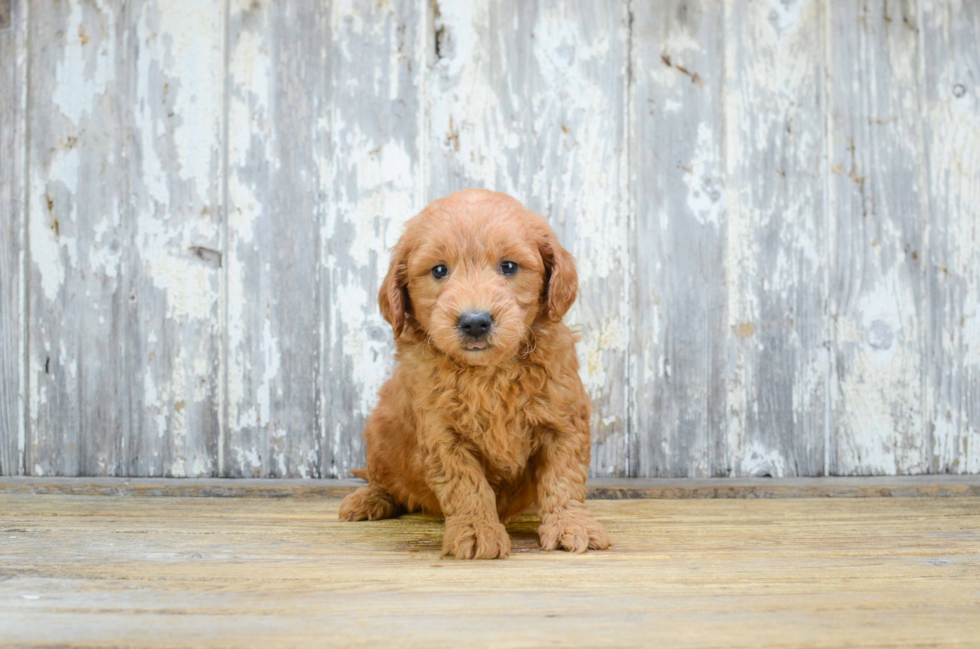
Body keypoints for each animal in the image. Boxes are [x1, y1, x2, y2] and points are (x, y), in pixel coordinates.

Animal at [340, 187, 608, 556]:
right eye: (439, 270)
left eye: (508, 266)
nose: (475, 321)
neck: (488, 372)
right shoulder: (442, 434)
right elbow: (466, 484)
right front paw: (477, 530)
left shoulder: (564, 420)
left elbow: (563, 477)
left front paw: (571, 524)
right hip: (380, 432)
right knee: (385, 478)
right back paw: (369, 499)